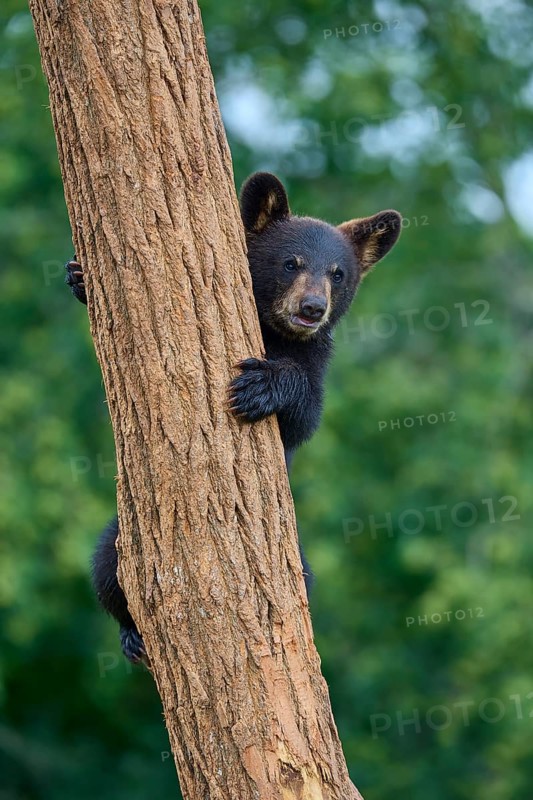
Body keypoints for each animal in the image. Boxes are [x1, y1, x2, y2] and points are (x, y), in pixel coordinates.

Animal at [65, 172, 401, 662]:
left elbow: (306, 414)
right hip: (122, 534)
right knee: (107, 568)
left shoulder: (315, 356)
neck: (272, 329)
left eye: (338, 274)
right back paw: (131, 635)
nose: (312, 308)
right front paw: (78, 277)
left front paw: (260, 386)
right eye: (291, 263)